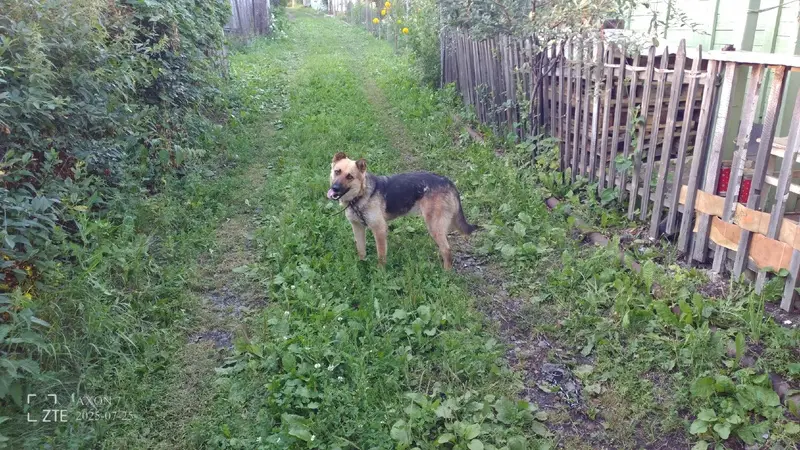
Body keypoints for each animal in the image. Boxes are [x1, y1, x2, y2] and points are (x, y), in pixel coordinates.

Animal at [327, 152, 477, 270]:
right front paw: (361, 265)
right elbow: (361, 250)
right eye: (337, 171)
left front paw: (380, 273)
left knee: (446, 249)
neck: (360, 195)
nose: (334, 188)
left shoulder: (379, 230)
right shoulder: (357, 227)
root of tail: (448, 181)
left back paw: (446, 273)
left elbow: (381, 255)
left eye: (350, 177)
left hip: (434, 226)